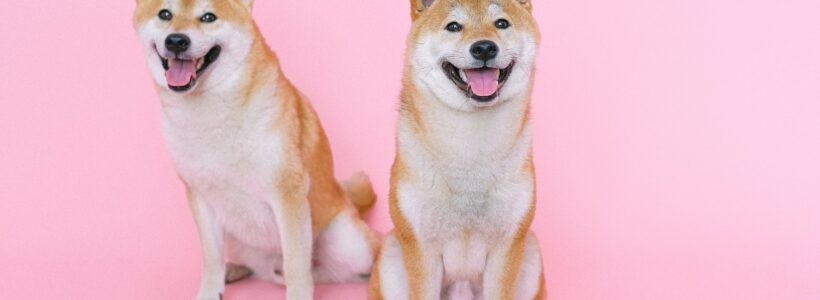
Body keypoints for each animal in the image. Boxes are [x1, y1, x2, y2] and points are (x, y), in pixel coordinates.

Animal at [131, 1, 382, 298]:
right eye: (165, 14)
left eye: (208, 17)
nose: (177, 40)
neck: (212, 114)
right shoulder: (200, 196)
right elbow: (211, 258)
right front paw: (210, 290)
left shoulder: (287, 194)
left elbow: (296, 263)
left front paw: (298, 292)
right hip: (235, 234)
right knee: (257, 266)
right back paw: (235, 271)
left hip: (347, 243)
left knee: (334, 268)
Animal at [372, 0, 544, 300]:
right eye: (453, 26)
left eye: (501, 23)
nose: (484, 47)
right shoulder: (421, 247)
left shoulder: (508, 246)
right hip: (391, 254)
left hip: (532, 252)